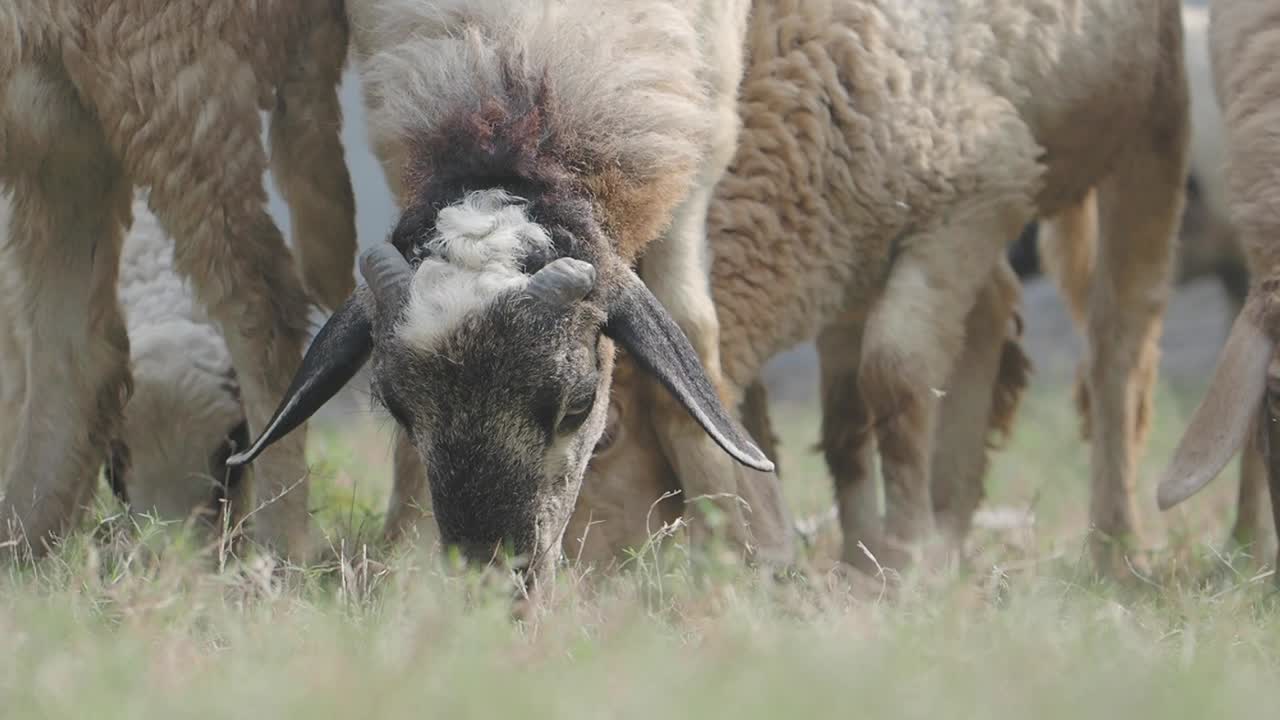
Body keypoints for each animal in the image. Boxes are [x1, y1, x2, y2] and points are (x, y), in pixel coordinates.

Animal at [0, 1, 357, 562]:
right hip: (65, 121)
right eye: (115, 471)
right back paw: (21, 542)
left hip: (171, 78)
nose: (173, 556)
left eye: (229, 463)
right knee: (80, 349)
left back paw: (281, 550)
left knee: (264, 306)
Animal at [572, 0, 1189, 577]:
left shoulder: (976, 193)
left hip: (1151, 121)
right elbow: (845, 422)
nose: (583, 581)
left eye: (604, 437)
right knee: (990, 312)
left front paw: (903, 553)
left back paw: (1114, 545)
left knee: (1119, 341)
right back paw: (953, 524)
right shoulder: (849, 260)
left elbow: (896, 377)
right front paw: (861, 558)